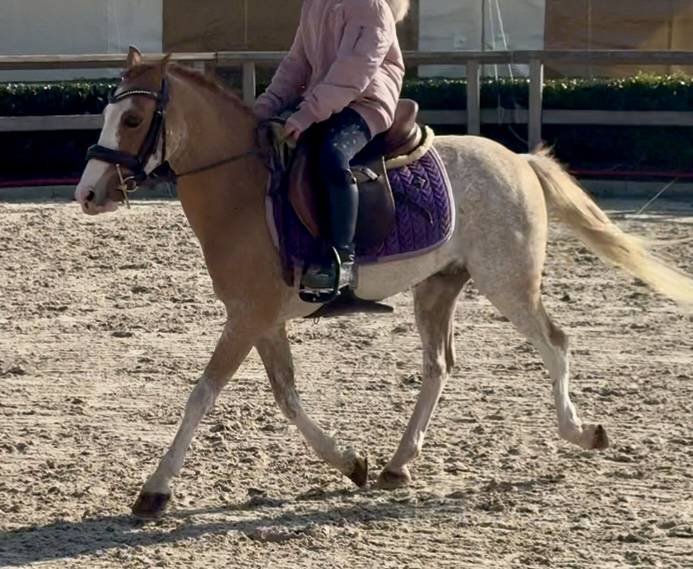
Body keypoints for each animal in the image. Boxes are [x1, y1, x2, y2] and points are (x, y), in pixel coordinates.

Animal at [75, 49, 693, 519]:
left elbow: (201, 395)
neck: (245, 191)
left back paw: (581, 433)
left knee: (555, 344)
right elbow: (288, 398)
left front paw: (155, 490)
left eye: (133, 121)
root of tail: (517, 160)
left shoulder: (247, 318)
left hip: (509, 283)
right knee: (438, 367)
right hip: (438, 289)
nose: (87, 193)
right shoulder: (262, 320)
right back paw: (399, 463)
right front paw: (351, 462)